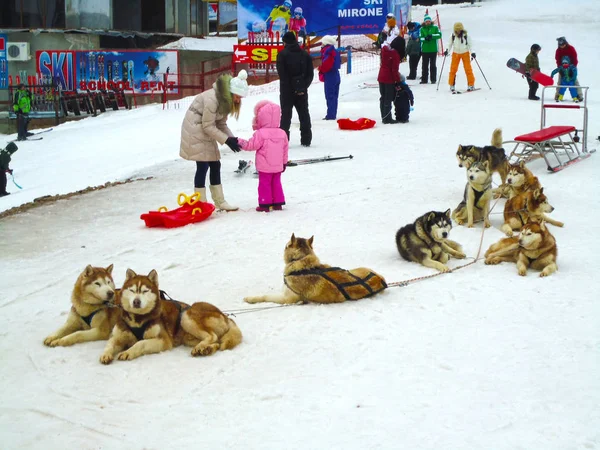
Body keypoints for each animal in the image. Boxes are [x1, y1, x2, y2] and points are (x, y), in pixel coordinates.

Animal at [99, 268, 240, 364]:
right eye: (132, 290)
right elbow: (110, 344)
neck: (137, 320)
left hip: (186, 317)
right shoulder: (117, 337)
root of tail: (224, 314)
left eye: (145, 291)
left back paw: (201, 347)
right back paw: (207, 349)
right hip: (188, 337)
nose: (136, 301)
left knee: (212, 336)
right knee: (216, 342)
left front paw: (128, 352)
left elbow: (141, 343)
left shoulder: (163, 340)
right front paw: (106, 354)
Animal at [243, 234, 384, 304]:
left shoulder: (287, 298)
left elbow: (265, 296)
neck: (301, 260)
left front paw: (251, 299)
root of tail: (381, 279)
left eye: (286, 245)